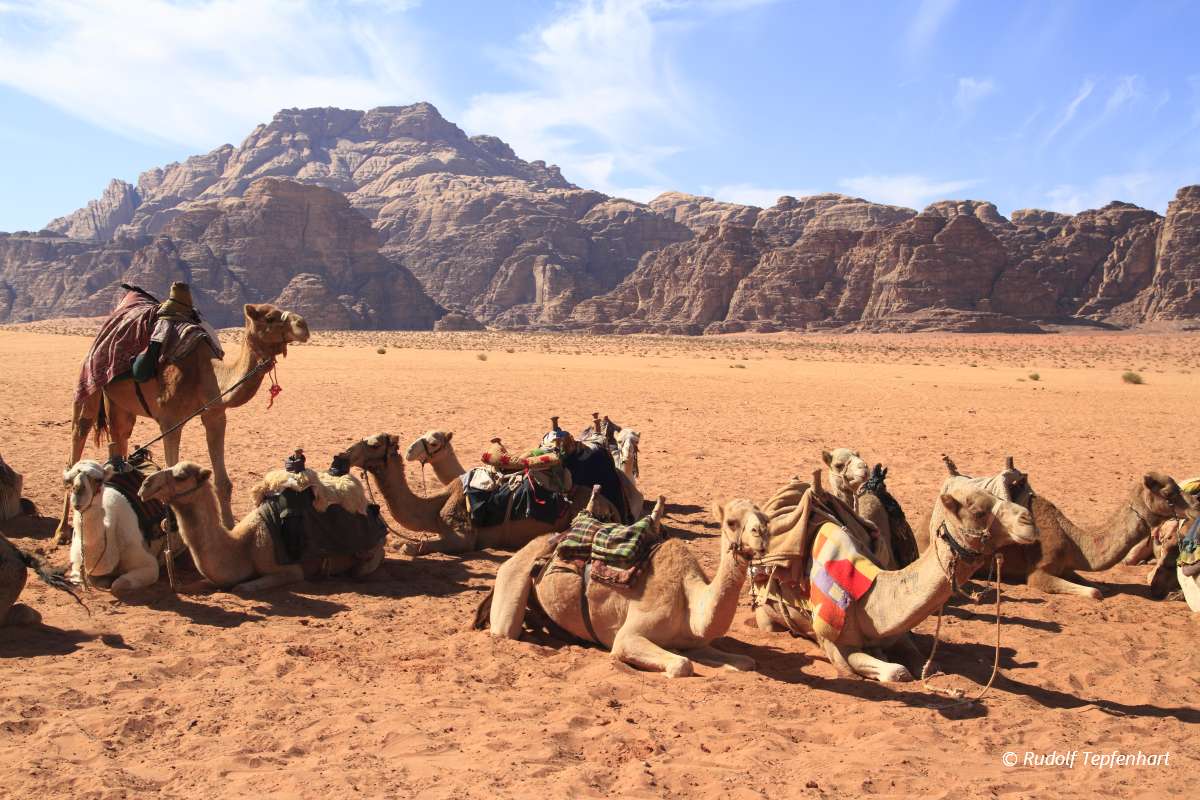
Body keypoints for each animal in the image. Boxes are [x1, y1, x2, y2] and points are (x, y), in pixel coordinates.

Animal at [57, 303, 310, 542]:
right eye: (269, 317)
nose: (303, 325)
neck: (206, 373)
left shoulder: (215, 415)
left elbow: (223, 482)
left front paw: (230, 529)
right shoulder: (169, 419)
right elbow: (171, 469)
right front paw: (172, 526)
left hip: (118, 404)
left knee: (120, 437)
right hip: (88, 390)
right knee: (76, 445)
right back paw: (62, 531)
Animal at [138, 461, 384, 592]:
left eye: (180, 476)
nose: (145, 485)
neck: (242, 546)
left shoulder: (290, 570)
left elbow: (240, 587)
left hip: (370, 552)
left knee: (361, 568)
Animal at [485, 492, 770, 677]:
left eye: (765, 519)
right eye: (731, 522)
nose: (761, 535)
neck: (688, 599)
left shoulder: (696, 641)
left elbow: (747, 662)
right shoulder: (628, 636)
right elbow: (681, 665)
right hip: (512, 579)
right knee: (505, 629)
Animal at [755, 477, 1037, 682]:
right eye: (978, 511)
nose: (1028, 520)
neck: (868, 597)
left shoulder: (897, 633)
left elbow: (928, 665)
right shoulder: (832, 642)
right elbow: (894, 671)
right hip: (765, 616)